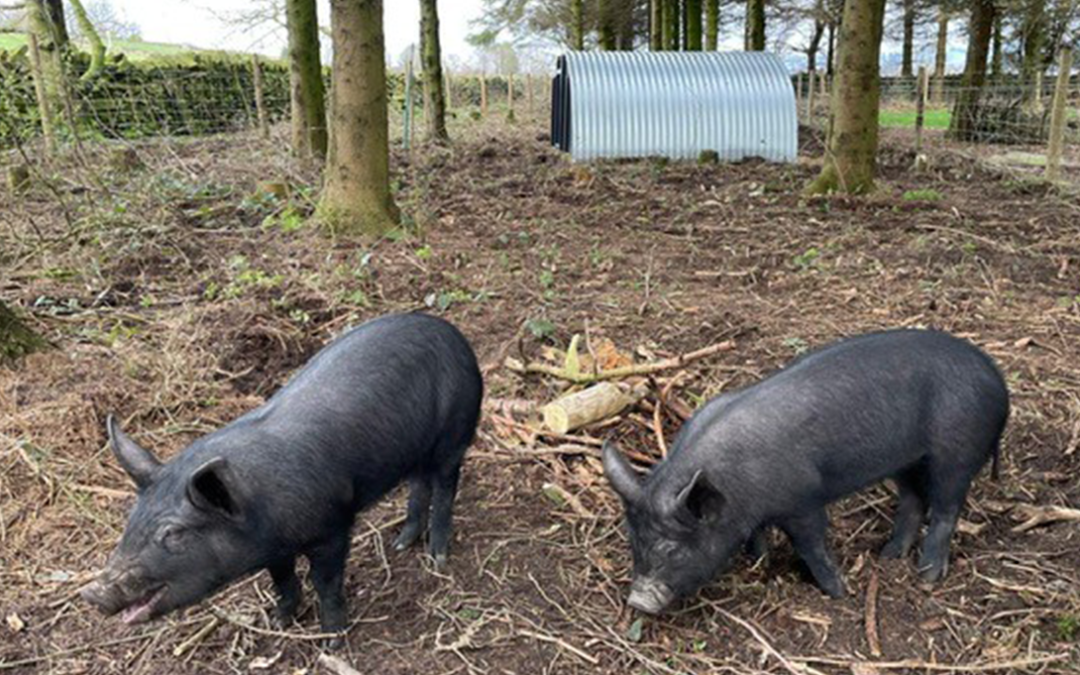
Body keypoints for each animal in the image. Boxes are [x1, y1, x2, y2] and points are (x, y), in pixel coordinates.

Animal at [81, 313, 483, 645]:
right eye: (130, 521)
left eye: (174, 534)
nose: (91, 592)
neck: (262, 516)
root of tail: (453, 333)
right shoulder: (274, 550)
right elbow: (283, 581)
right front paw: (278, 622)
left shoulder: (332, 529)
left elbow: (326, 583)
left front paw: (332, 641)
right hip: (414, 452)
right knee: (419, 483)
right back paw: (400, 544)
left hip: (455, 432)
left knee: (445, 486)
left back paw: (437, 558)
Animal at [603, 329, 1008, 615]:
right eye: (633, 541)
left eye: (673, 549)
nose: (637, 601)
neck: (736, 486)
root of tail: (996, 376)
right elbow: (758, 537)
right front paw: (760, 563)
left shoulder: (804, 500)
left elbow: (812, 544)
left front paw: (839, 593)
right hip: (908, 460)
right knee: (912, 500)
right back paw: (887, 556)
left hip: (957, 451)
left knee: (946, 507)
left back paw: (927, 576)